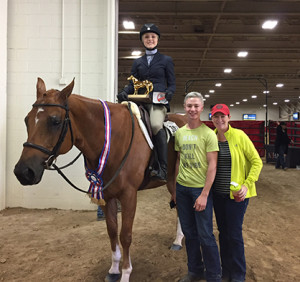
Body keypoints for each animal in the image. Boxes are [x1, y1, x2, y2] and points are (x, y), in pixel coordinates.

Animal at [14, 77, 188, 282]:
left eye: (55, 121)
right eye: (27, 120)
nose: (23, 172)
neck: (113, 139)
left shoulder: (129, 195)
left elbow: (125, 235)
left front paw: (126, 273)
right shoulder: (106, 194)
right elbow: (112, 231)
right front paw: (113, 270)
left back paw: (178, 241)